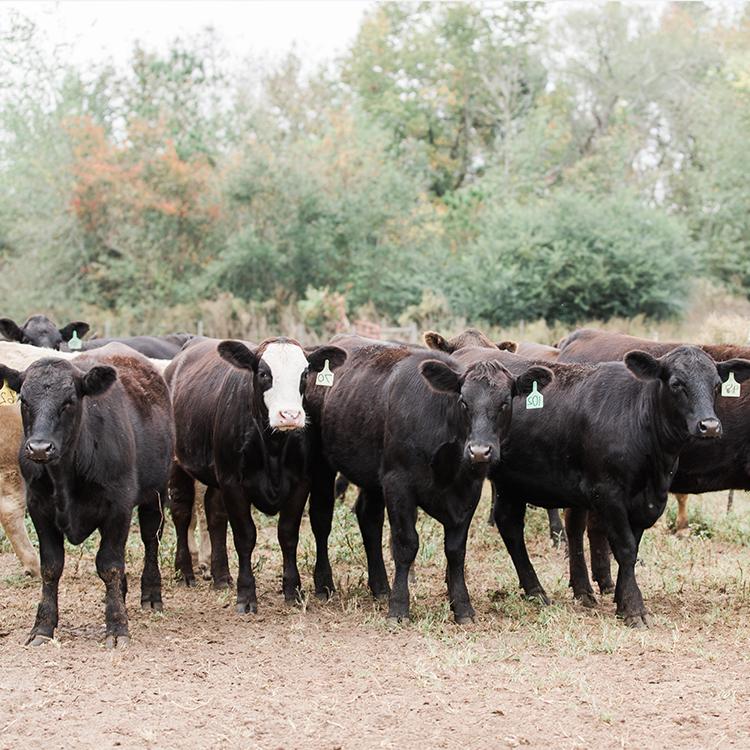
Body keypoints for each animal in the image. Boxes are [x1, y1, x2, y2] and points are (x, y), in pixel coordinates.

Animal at [0, 350, 173, 648]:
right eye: (24, 400)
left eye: (69, 401)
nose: (40, 448)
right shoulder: (39, 508)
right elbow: (51, 567)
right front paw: (43, 627)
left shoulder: (119, 507)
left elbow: (109, 565)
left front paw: (117, 627)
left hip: (156, 494)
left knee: (151, 540)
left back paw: (151, 595)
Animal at [166, 338, 348, 612]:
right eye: (264, 374)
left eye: (304, 374)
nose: (289, 415)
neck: (273, 445)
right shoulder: (232, 482)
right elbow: (245, 536)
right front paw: (246, 595)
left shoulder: (300, 483)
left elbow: (288, 534)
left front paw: (293, 590)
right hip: (178, 463)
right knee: (181, 511)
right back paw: (185, 572)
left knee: (214, 514)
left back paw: (221, 576)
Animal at [450, 346, 750, 628]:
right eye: (677, 383)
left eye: (716, 384)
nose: (709, 426)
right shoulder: (607, 493)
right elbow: (626, 548)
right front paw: (634, 609)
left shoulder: (646, 501)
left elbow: (631, 548)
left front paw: (620, 598)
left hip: (513, 481)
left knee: (510, 525)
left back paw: (536, 590)